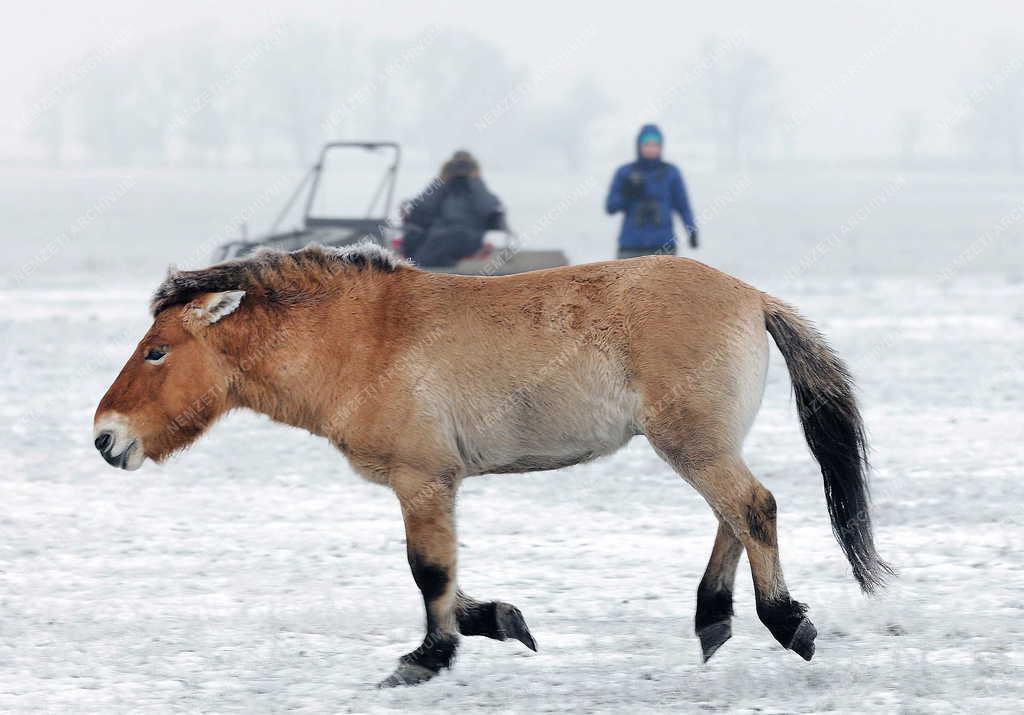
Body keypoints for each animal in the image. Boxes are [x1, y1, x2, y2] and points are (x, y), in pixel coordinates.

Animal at [97, 243, 897, 684]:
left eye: (157, 350)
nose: (106, 438)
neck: (362, 339)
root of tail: (753, 296)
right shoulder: (434, 484)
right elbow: (449, 577)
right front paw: (501, 620)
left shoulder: (422, 479)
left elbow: (428, 572)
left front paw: (424, 659)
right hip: (699, 443)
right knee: (734, 513)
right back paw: (712, 620)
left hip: (693, 443)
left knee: (752, 507)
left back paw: (786, 622)